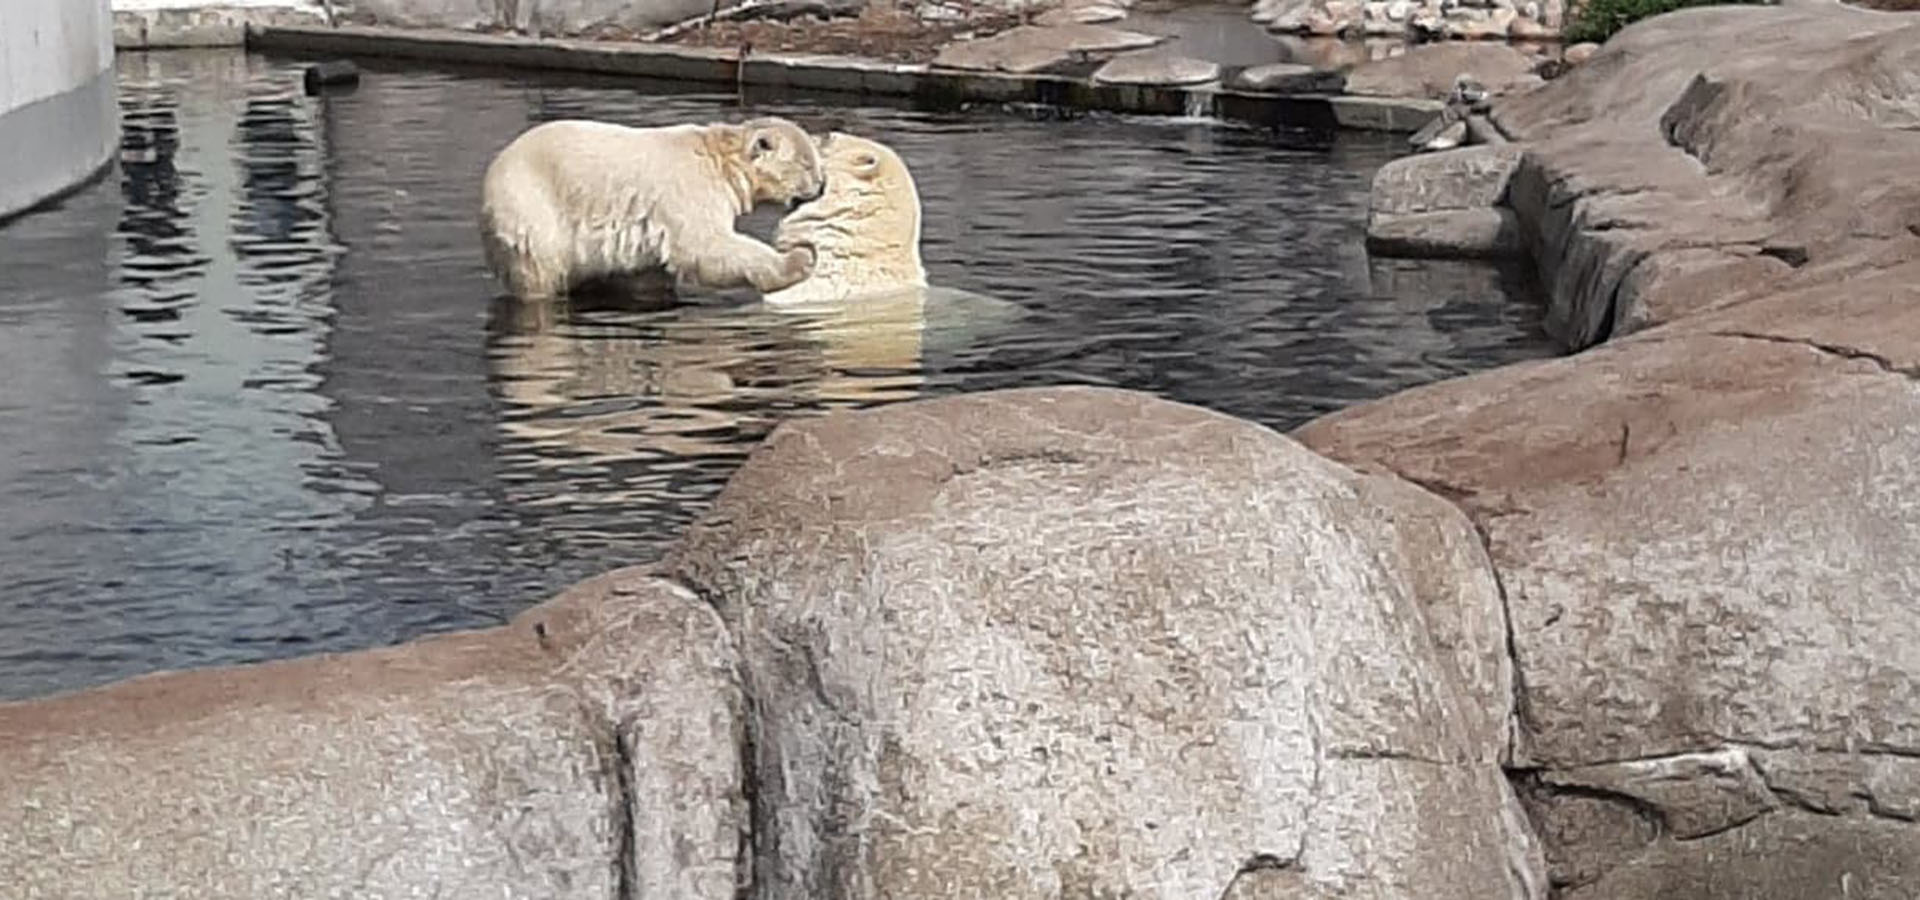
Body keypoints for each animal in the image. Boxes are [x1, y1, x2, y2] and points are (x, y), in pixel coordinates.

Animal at [480, 115, 825, 301]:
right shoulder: (691, 189)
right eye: (808, 164)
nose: (822, 186)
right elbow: (706, 248)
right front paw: (801, 257)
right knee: (540, 271)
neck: (721, 161)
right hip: (532, 207)